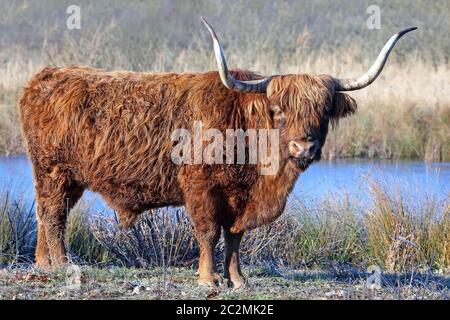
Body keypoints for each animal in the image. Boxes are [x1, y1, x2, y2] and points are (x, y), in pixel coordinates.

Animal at [19, 18, 416, 288]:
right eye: (279, 110)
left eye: (323, 111)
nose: (303, 146)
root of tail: (45, 76)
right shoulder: (200, 187)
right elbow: (209, 232)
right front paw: (208, 278)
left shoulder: (240, 198)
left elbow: (236, 237)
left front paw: (237, 279)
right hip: (53, 171)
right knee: (53, 217)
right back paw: (61, 264)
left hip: (68, 178)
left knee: (45, 214)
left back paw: (43, 264)